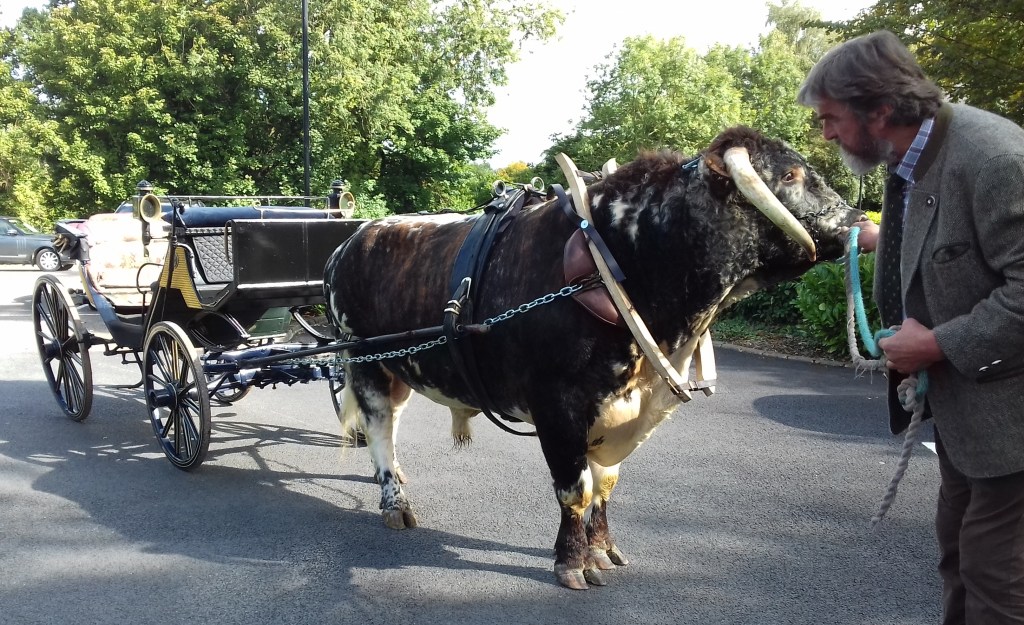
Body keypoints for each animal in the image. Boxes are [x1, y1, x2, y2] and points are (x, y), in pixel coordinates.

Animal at [323, 126, 865, 589]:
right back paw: (394, 501)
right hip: (364, 360)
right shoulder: (557, 404)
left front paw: (602, 548)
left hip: (400, 367)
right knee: (379, 428)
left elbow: (605, 485)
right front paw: (571, 562)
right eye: (790, 176)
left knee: (391, 421)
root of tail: (350, 239)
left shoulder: (620, 404)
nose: (859, 220)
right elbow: (575, 489)